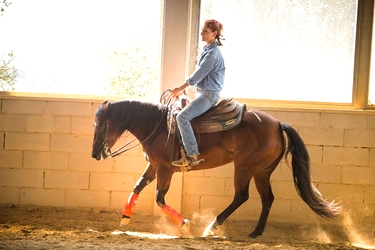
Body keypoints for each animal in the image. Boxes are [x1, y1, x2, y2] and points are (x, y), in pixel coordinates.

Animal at [91, 96, 340, 237]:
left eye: (101, 124)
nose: (94, 154)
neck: (158, 126)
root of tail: (278, 124)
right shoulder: (154, 166)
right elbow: (137, 187)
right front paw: (125, 217)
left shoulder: (165, 169)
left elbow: (160, 198)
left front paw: (184, 225)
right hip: (262, 171)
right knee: (267, 198)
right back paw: (256, 232)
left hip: (244, 168)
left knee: (241, 196)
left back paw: (212, 226)